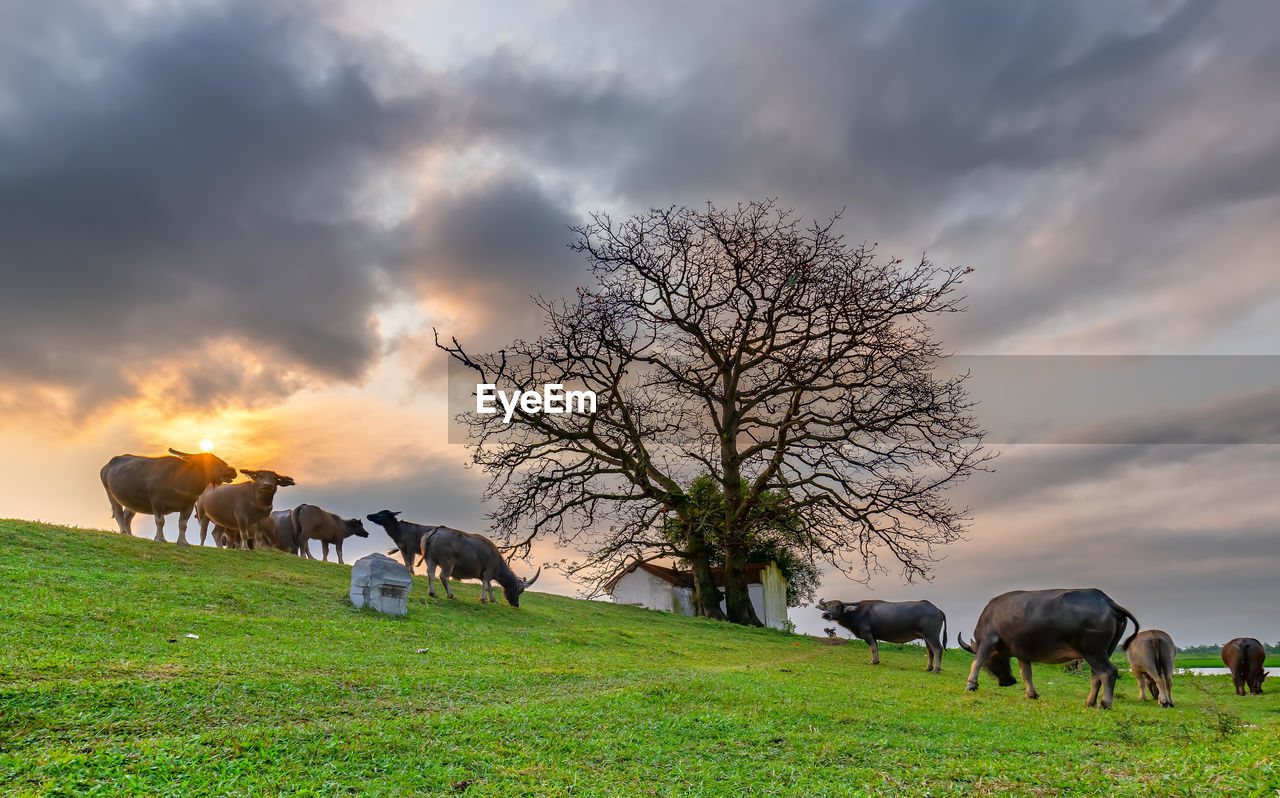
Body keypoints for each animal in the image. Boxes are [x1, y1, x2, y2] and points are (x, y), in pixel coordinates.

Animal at [99, 445, 235, 545]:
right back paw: (123, 532)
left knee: (127, 516)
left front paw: (183, 542)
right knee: (118, 513)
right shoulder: (157, 502)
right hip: (110, 494)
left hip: (131, 502)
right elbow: (160, 521)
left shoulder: (189, 506)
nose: (231, 470)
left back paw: (130, 534)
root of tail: (107, 466)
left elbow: (182, 524)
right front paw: (160, 538)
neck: (182, 480)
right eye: (210, 462)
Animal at [819, 599, 952, 676]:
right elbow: (876, 647)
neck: (855, 612)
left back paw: (936, 669)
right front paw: (876, 660)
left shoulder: (867, 633)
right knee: (930, 651)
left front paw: (873, 661)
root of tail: (938, 610)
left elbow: (872, 647)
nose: (827, 614)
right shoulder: (873, 635)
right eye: (827, 606)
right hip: (926, 637)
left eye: (837, 606)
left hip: (931, 635)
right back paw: (928, 668)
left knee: (937, 649)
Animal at [962, 586, 1141, 712]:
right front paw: (1031, 694)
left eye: (991, 661)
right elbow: (1026, 674)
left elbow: (977, 661)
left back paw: (1104, 704)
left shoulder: (987, 641)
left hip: (1093, 652)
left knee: (1108, 672)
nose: (1009, 681)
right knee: (1096, 675)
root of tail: (1109, 602)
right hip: (1105, 651)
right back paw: (1090, 702)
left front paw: (971, 684)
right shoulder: (1022, 653)